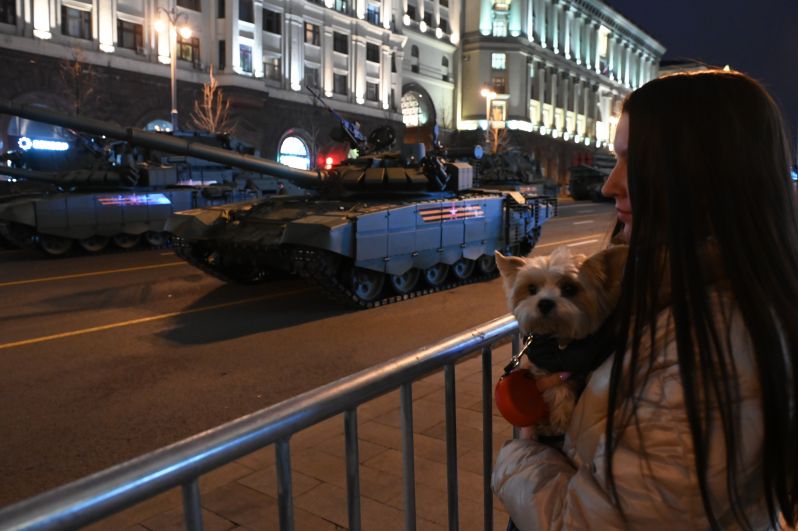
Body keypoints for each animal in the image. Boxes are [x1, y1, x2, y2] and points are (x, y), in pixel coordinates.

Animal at [494, 245, 632, 436]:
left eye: (569, 288)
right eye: (531, 288)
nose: (544, 303)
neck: (559, 340)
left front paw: (559, 421)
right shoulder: (545, 367)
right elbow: (557, 389)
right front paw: (554, 421)